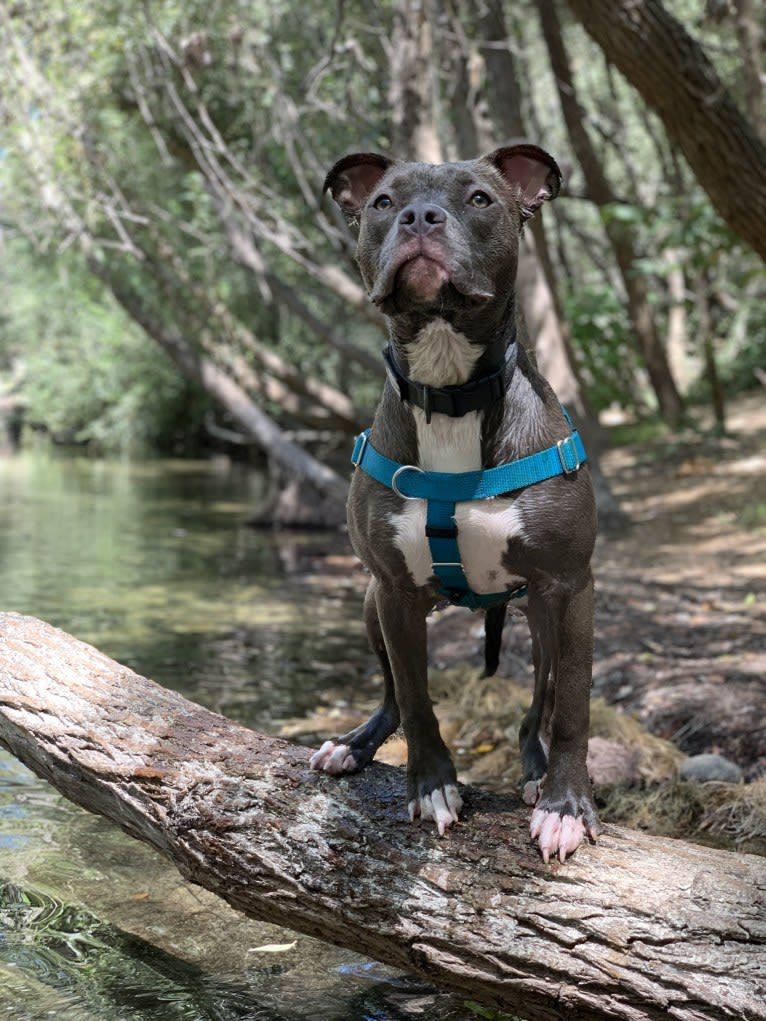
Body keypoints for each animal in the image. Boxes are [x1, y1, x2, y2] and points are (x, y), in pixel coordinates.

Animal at [310, 143, 600, 861]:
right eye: (383, 202)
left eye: (479, 198)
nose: (419, 216)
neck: (449, 391)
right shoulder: (394, 591)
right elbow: (417, 700)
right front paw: (432, 786)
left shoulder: (570, 585)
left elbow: (574, 709)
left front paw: (566, 806)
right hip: (370, 605)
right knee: (391, 694)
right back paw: (352, 746)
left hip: (542, 620)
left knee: (537, 709)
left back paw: (535, 775)